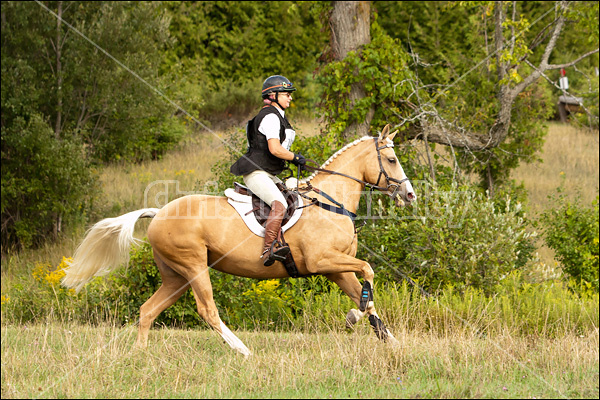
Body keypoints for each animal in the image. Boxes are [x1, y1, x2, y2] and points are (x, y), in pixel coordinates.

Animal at [62, 123, 418, 354]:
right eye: (391, 160)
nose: (410, 195)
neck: (330, 202)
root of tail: (159, 212)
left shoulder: (336, 269)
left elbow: (365, 293)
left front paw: (388, 339)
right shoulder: (323, 261)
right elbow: (369, 271)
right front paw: (354, 317)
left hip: (175, 276)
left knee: (148, 310)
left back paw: (141, 354)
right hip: (193, 266)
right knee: (207, 310)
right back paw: (241, 349)